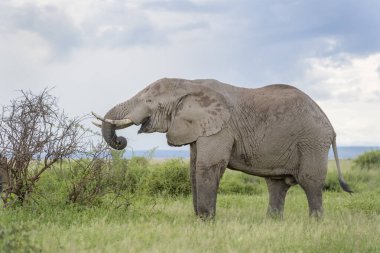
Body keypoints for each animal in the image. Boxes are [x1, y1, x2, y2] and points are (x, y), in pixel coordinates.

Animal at [91, 77, 350, 219]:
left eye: (150, 102)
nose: (121, 141)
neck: (189, 83)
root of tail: (330, 125)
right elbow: (194, 168)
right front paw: (199, 220)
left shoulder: (220, 128)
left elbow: (208, 166)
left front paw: (206, 221)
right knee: (276, 185)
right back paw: (272, 222)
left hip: (312, 141)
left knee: (310, 181)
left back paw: (314, 223)